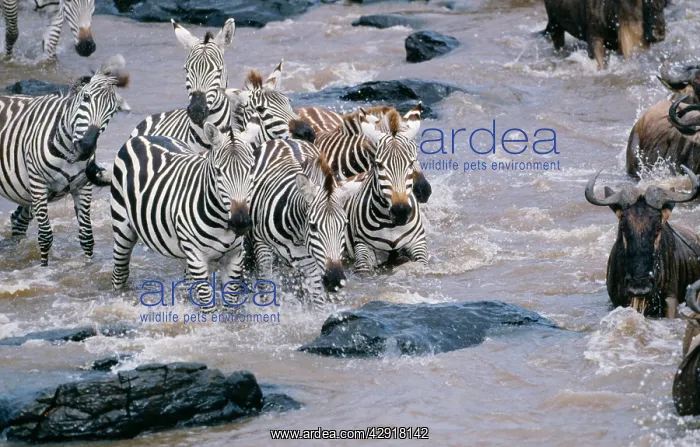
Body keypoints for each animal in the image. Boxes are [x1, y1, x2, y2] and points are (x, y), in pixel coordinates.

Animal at [0, 54, 130, 266]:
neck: (69, 153)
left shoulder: (83, 186)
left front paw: (88, 266)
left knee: (18, 220)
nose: (86, 147)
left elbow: (87, 236)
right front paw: (44, 267)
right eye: (86, 98)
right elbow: (45, 236)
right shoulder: (38, 184)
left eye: (112, 112)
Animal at [110, 119, 260, 309]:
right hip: (122, 227)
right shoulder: (197, 258)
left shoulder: (234, 256)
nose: (241, 222)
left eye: (251, 169)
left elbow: (230, 304)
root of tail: (143, 137)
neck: (221, 222)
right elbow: (208, 305)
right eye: (218, 171)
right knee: (120, 272)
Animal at [250, 140, 347, 306]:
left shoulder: (309, 260)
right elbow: (265, 287)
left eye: (344, 226)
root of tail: (285, 140)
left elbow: (318, 301)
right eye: (313, 226)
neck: (295, 232)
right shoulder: (261, 244)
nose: (335, 280)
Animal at [342, 108, 428, 274]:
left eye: (410, 163)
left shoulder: (418, 242)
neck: (391, 225)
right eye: (379, 165)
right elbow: (363, 269)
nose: (401, 211)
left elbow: (422, 263)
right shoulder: (362, 245)